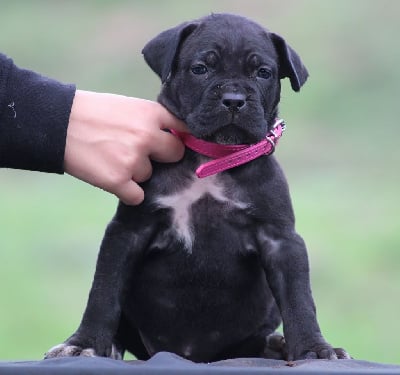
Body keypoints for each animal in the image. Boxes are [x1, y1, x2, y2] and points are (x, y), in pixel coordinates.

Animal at [45, 14, 348, 364]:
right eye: (201, 68)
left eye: (263, 72)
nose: (234, 101)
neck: (213, 156)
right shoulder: (127, 232)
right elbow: (103, 293)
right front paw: (84, 343)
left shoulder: (281, 240)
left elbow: (300, 298)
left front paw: (315, 348)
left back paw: (276, 345)